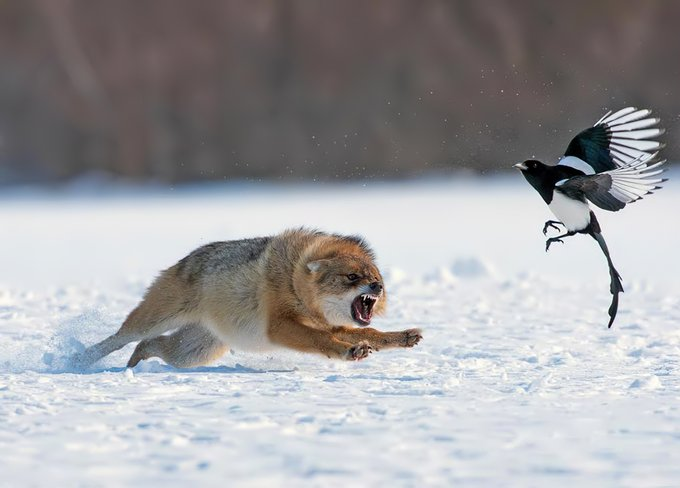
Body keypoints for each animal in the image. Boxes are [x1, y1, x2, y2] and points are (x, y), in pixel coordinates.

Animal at [73, 227, 420, 368]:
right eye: (352, 278)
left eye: (377, 280)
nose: (376, 288)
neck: (294, 281)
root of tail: (186, 258)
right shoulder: (280, 328)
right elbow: (323, 342)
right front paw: (350, 352)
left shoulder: (333, 325)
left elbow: (373, 334)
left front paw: (403, 337)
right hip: (152, 322)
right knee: (119, 339)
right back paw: (78, 360)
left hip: (192, 353)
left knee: (149, 346)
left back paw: (131, 368)